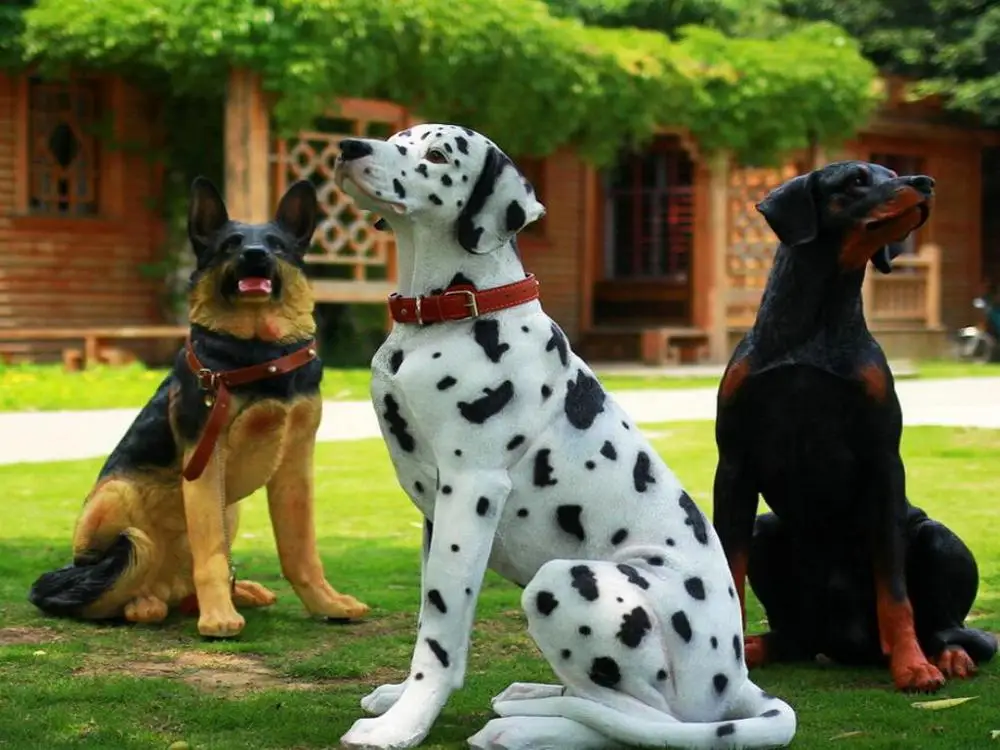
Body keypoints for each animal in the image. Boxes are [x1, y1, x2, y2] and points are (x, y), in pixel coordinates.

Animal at [30, 179, 372, 636]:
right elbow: (211, 554)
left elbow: (301, 550)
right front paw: (218, 618)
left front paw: (326, 602)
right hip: (117, 498)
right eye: (230, 244)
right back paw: (145, 603)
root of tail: (168, 586)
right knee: (115, 584)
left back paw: (232, 592)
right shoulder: (206, 461)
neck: (257, 352)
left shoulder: (296, 465)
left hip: (231, 508)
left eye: (276, 245)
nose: (254, 255)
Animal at [336, 125, 796, 750]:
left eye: (435, 154)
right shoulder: (436, 514)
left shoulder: (470, 489)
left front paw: (403, 723)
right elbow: (437, 622)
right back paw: (531, 697)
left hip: (566, 581)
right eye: (394, 138)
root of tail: (737, 680)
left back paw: (524, 727)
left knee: (643, 722)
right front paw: (403, 698)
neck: (452, 315)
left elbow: (439, 630)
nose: (349, 147)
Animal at [716, 162, 996, 696]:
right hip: (769, 533)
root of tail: (846, 641)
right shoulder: (734, 464)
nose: (926, 183)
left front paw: (912, 667)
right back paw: (761, 647)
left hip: (936, 537)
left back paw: (947, 656)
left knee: (950, 628)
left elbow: (894, 588)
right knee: (795, 635)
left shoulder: (882, 461)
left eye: (892, 172)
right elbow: (728, 565)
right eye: (855, 180)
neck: (815, 322)